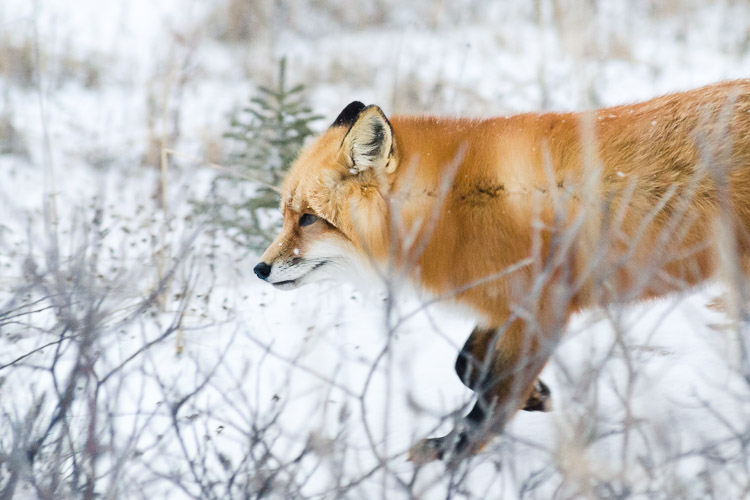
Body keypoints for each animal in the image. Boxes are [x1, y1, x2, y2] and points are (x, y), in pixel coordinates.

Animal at [254, 80, 750, 465]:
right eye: (286, 216)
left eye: (308, 219)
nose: (259, 269)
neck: (449, 203)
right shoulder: (500, 305)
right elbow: (467, 365)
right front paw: (537, 396)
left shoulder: (538, 308)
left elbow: (488, 407)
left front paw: (446, 455)